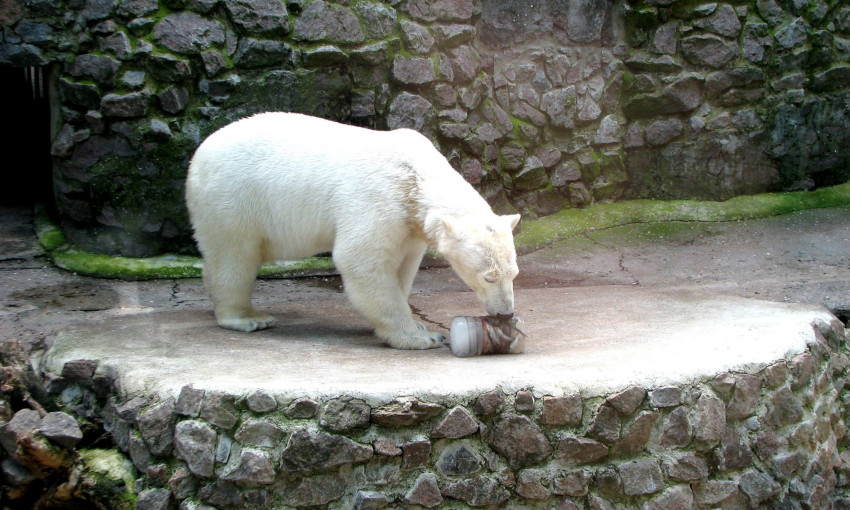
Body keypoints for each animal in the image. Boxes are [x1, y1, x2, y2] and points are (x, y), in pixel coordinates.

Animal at [186, 113, 516, 348]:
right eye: (488, 277)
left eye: (513, 274)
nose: (505, 312)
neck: (414, 177)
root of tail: (198, 156)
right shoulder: (379, 199)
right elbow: (361, 259)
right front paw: (421, 336)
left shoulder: (409, 225)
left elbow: (403, 266)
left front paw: (417, 324)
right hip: (232, 197)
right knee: (235, 256)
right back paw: (248, 318)